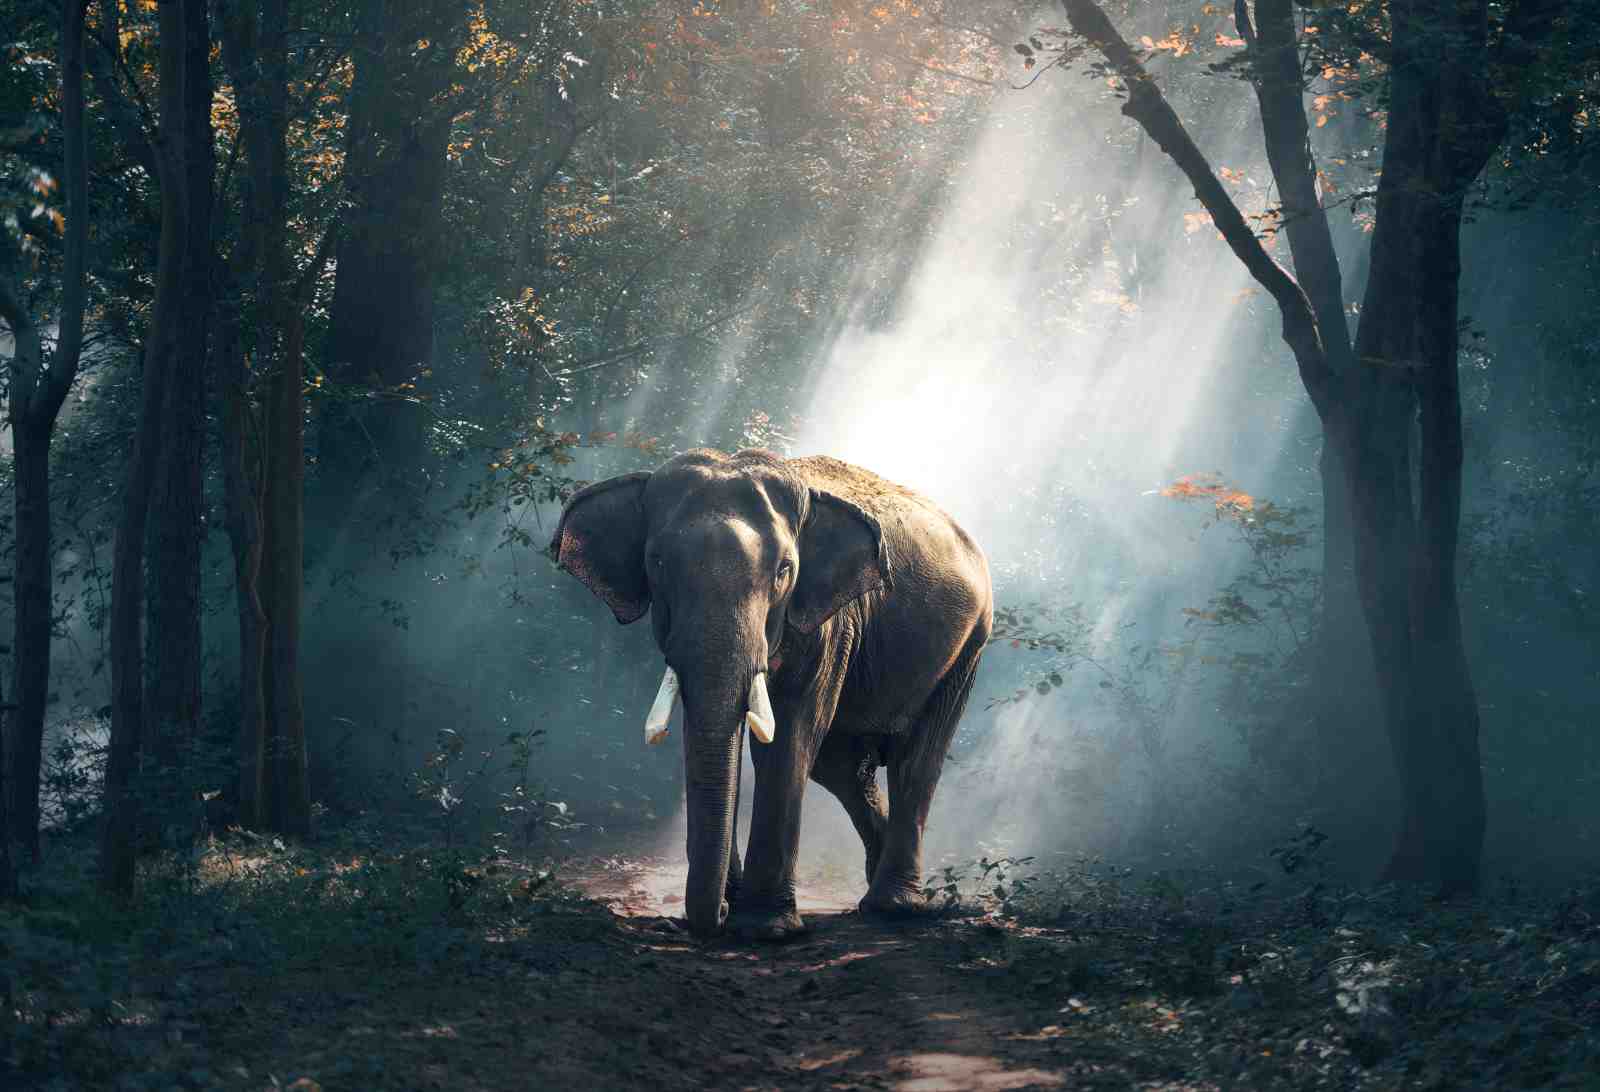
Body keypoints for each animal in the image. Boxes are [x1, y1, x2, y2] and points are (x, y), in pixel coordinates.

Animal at [550, 448, 992, 939]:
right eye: (657, 563)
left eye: (784, 571)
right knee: (841, 767)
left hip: (969, 645)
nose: (718, 915)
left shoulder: (828, 623)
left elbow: (789, 736)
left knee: (916, 759)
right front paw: (736, 906)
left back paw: (894, 907)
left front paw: (765, 929)